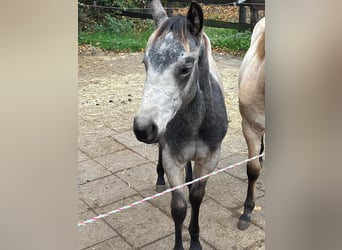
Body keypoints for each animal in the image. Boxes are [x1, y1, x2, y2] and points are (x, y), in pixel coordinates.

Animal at [133, 0, 227, 249]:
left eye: (185, 68)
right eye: (145, 63)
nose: (143, 128)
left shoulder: (210, 158)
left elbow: (196, 197)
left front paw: (195, 240)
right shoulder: (172, 159)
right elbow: (179, 207)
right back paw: (160, 178)